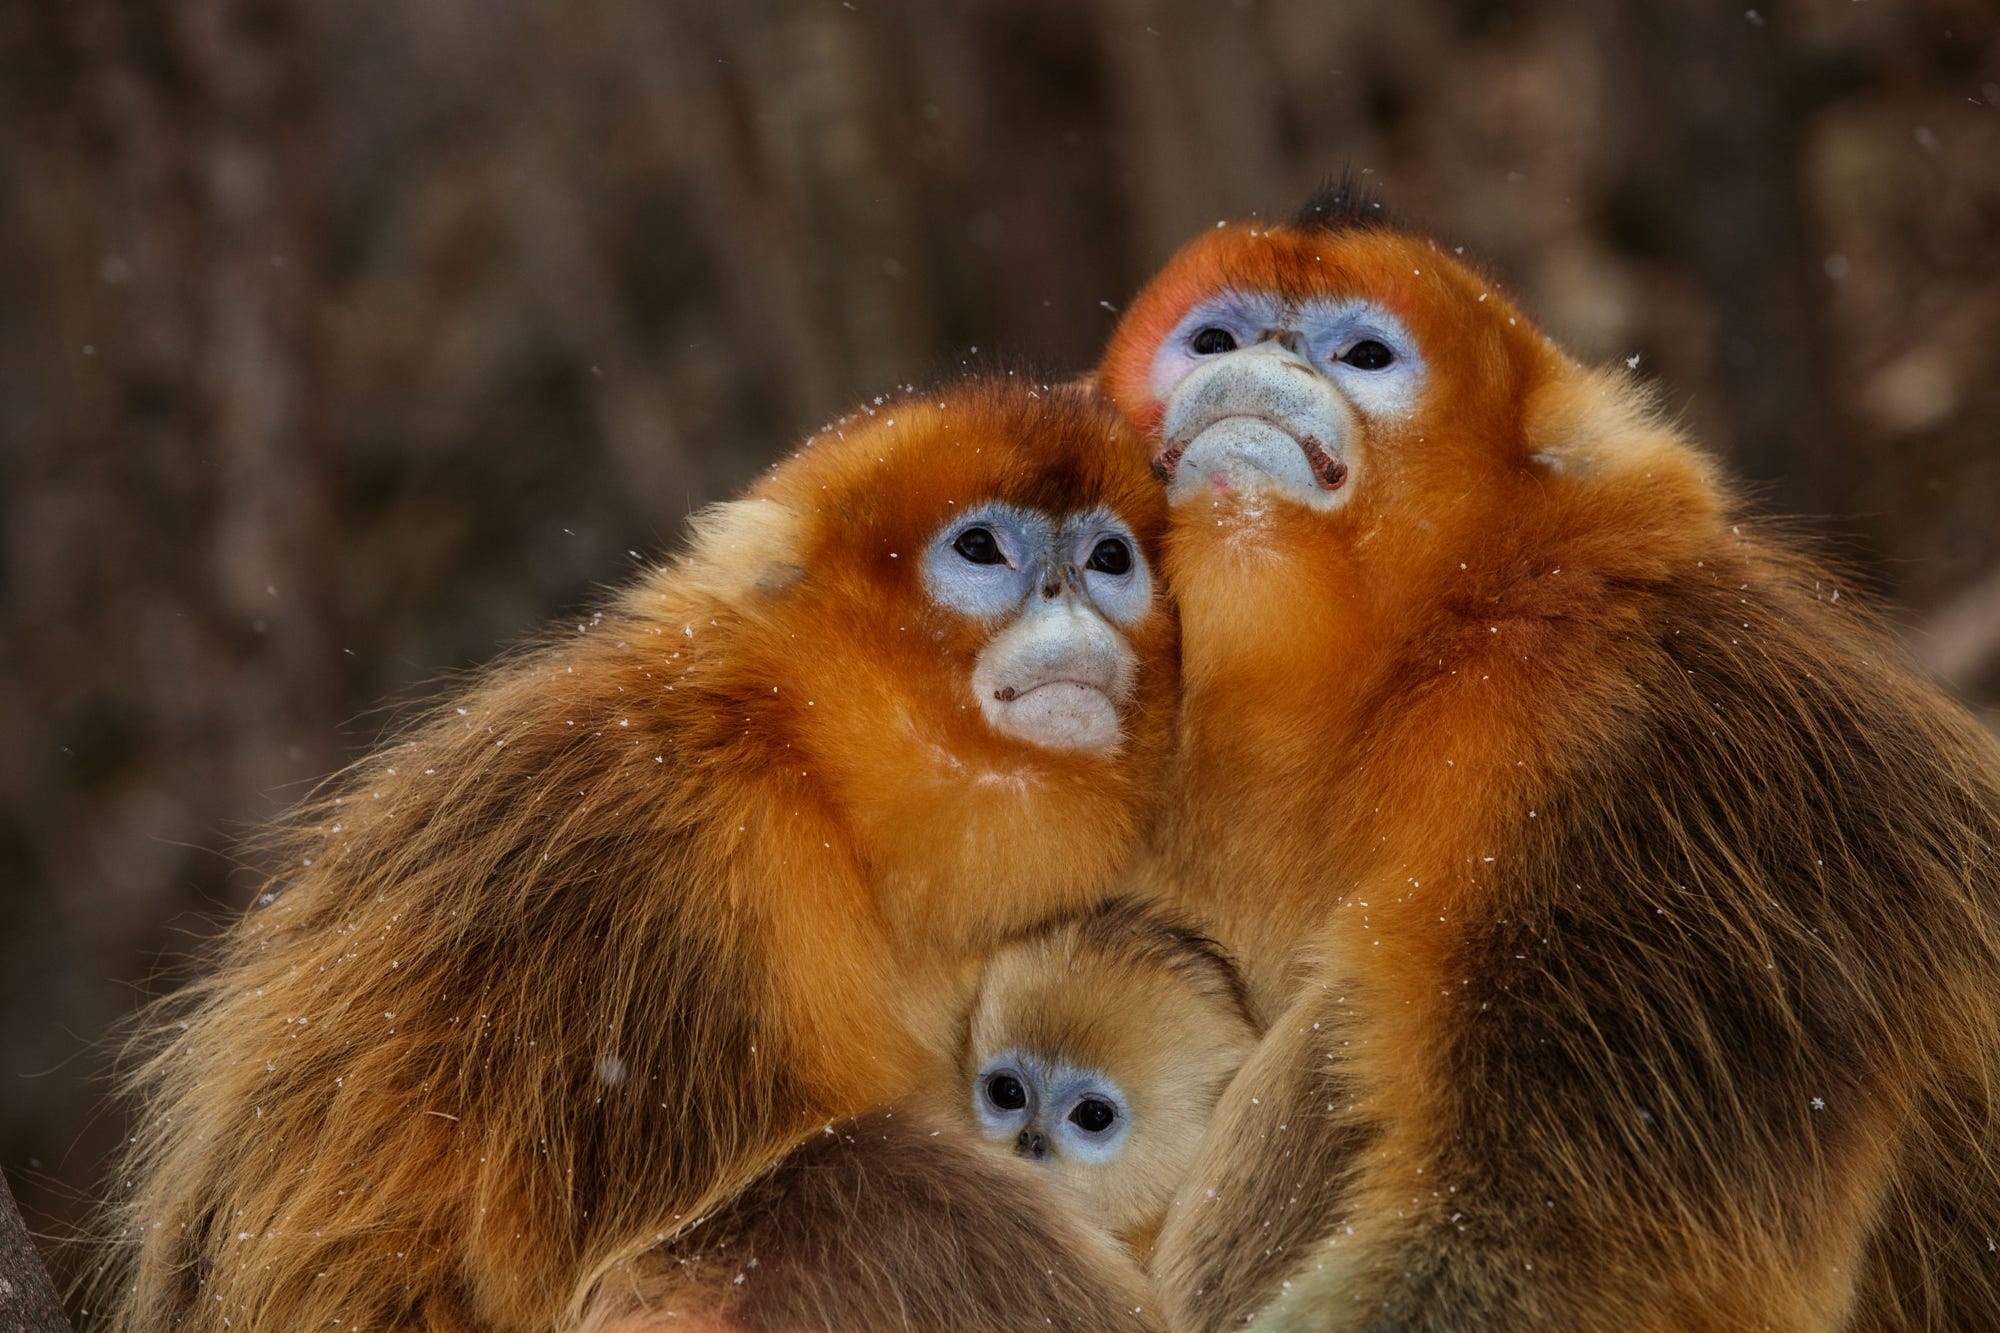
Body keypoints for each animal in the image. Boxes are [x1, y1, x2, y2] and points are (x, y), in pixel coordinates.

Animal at [1096, 184, 2000, 1328]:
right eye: (1212, 338)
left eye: (1362, 355)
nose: (1252, 362)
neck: (1427, 655)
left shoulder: (1622, 747)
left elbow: (1536, 1244)